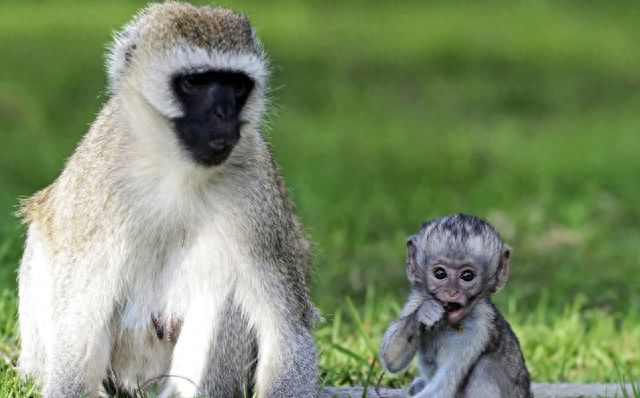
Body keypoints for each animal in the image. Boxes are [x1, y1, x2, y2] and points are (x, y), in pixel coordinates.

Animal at [18, 3, 318, 398]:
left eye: (237, 85)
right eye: (195, 82)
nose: (224, 114)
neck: (177, 171)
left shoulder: (259, 200)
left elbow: (288, 337)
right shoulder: (99, 190)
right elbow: (77, 330)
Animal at [380, 215, 528, 398]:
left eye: (467, 276)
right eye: (440, 273)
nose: (451, 292)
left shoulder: (476, 327)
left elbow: (441, 389)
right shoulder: (417, 297)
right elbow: (392, 359)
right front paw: (425, 313)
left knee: (483, 367)